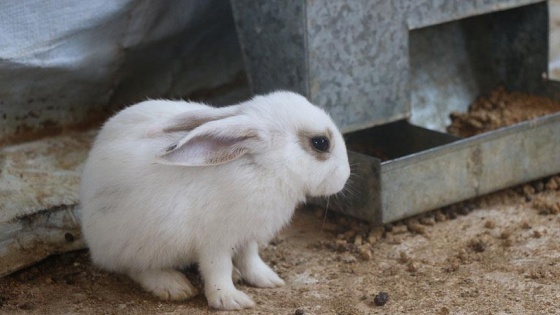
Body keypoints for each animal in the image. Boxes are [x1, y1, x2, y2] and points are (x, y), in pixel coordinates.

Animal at [79, 91, 350, 312]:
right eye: (320, 143)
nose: (346, 176)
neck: (262, 166)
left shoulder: (247, 236)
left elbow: (250, 259)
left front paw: (268, 280)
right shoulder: (215, 242)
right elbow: (218, 269)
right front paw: (231, 301)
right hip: (141, 242)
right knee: (134, 267)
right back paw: (173, 286)